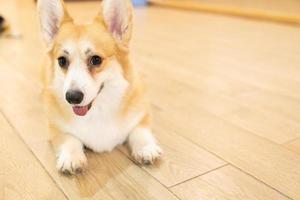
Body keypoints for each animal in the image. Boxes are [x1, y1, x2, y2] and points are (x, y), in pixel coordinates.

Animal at [38, 0, 163, 174]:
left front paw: (146, 148)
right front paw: (72, 157)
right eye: (62, 61)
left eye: (96, 60)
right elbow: (69, 139)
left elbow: (140, 131)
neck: (97, 110)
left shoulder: (143, 114)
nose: (72, 97)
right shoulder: (55, 128)